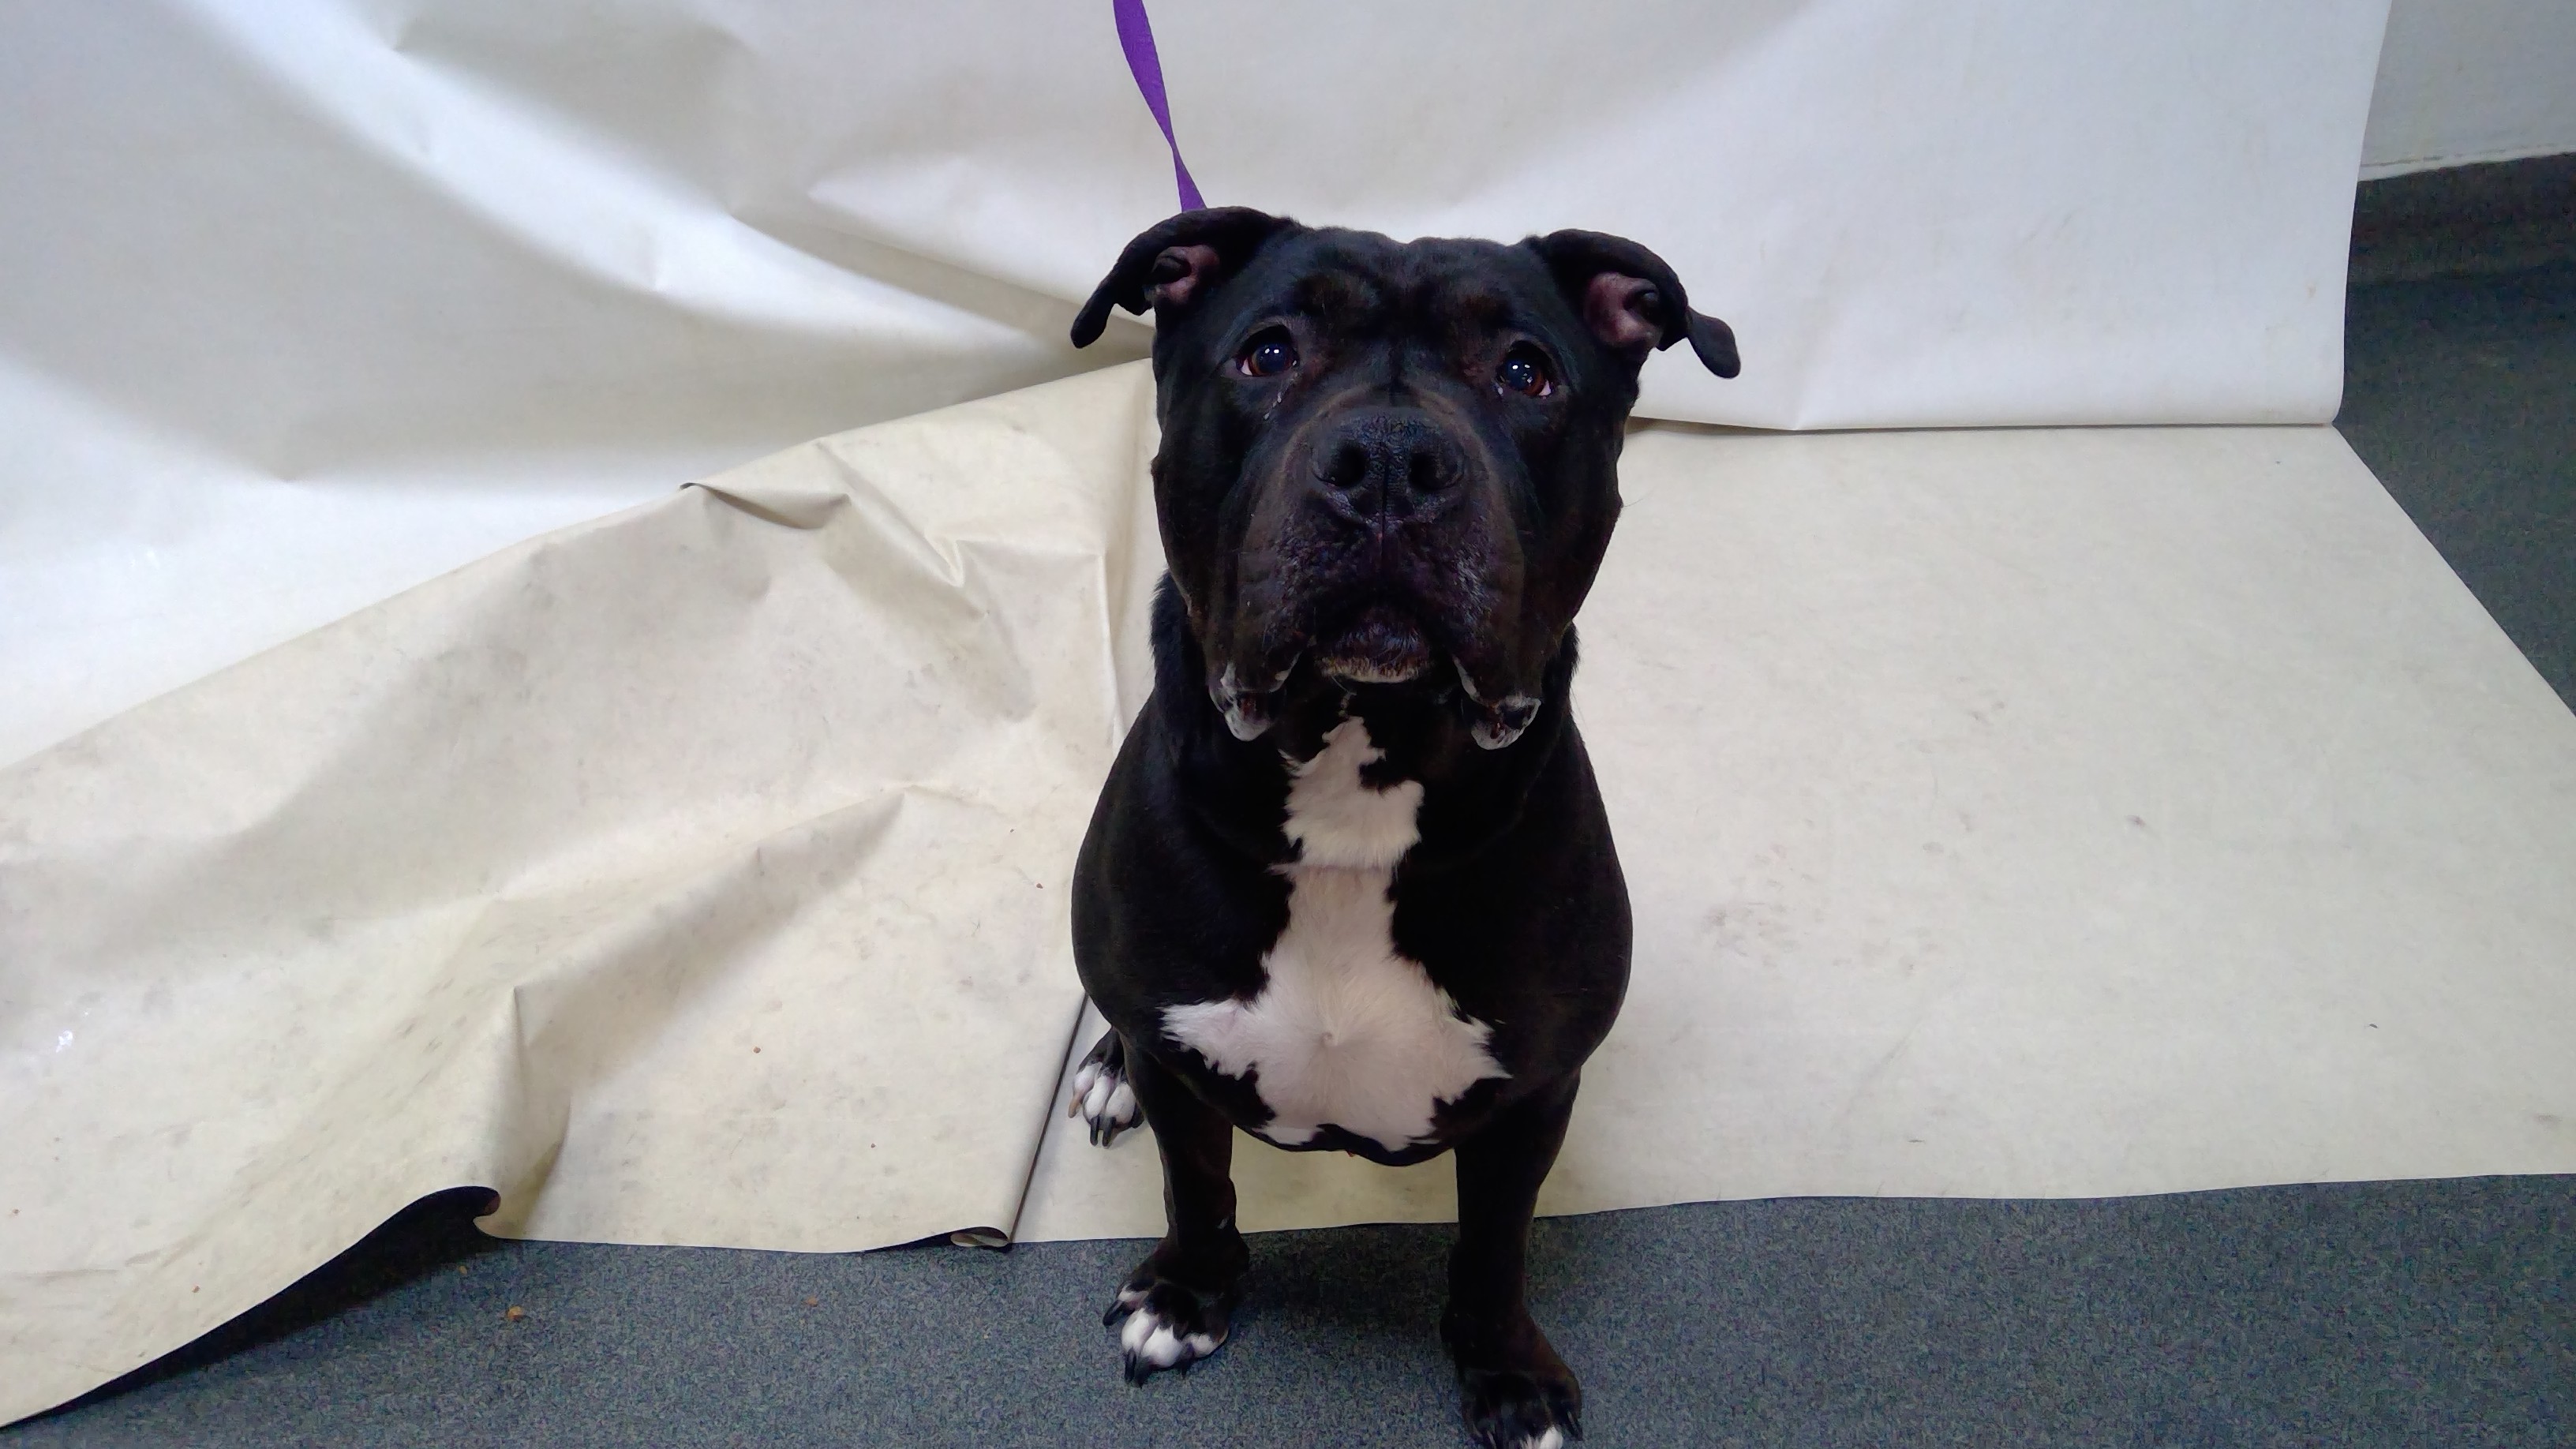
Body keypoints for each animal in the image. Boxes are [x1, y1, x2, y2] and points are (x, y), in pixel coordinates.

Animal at [1064, 207, 1737, 1449]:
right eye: (1267, 352)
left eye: (1526, 372)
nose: (1387, 460)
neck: (1356, 796)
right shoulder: (1184, 1065)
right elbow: (1198, 1183)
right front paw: (1185, 1296)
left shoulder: (1534, 1094)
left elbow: (1495, 1245)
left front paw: (1507, 1373)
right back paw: (1105, 1067)